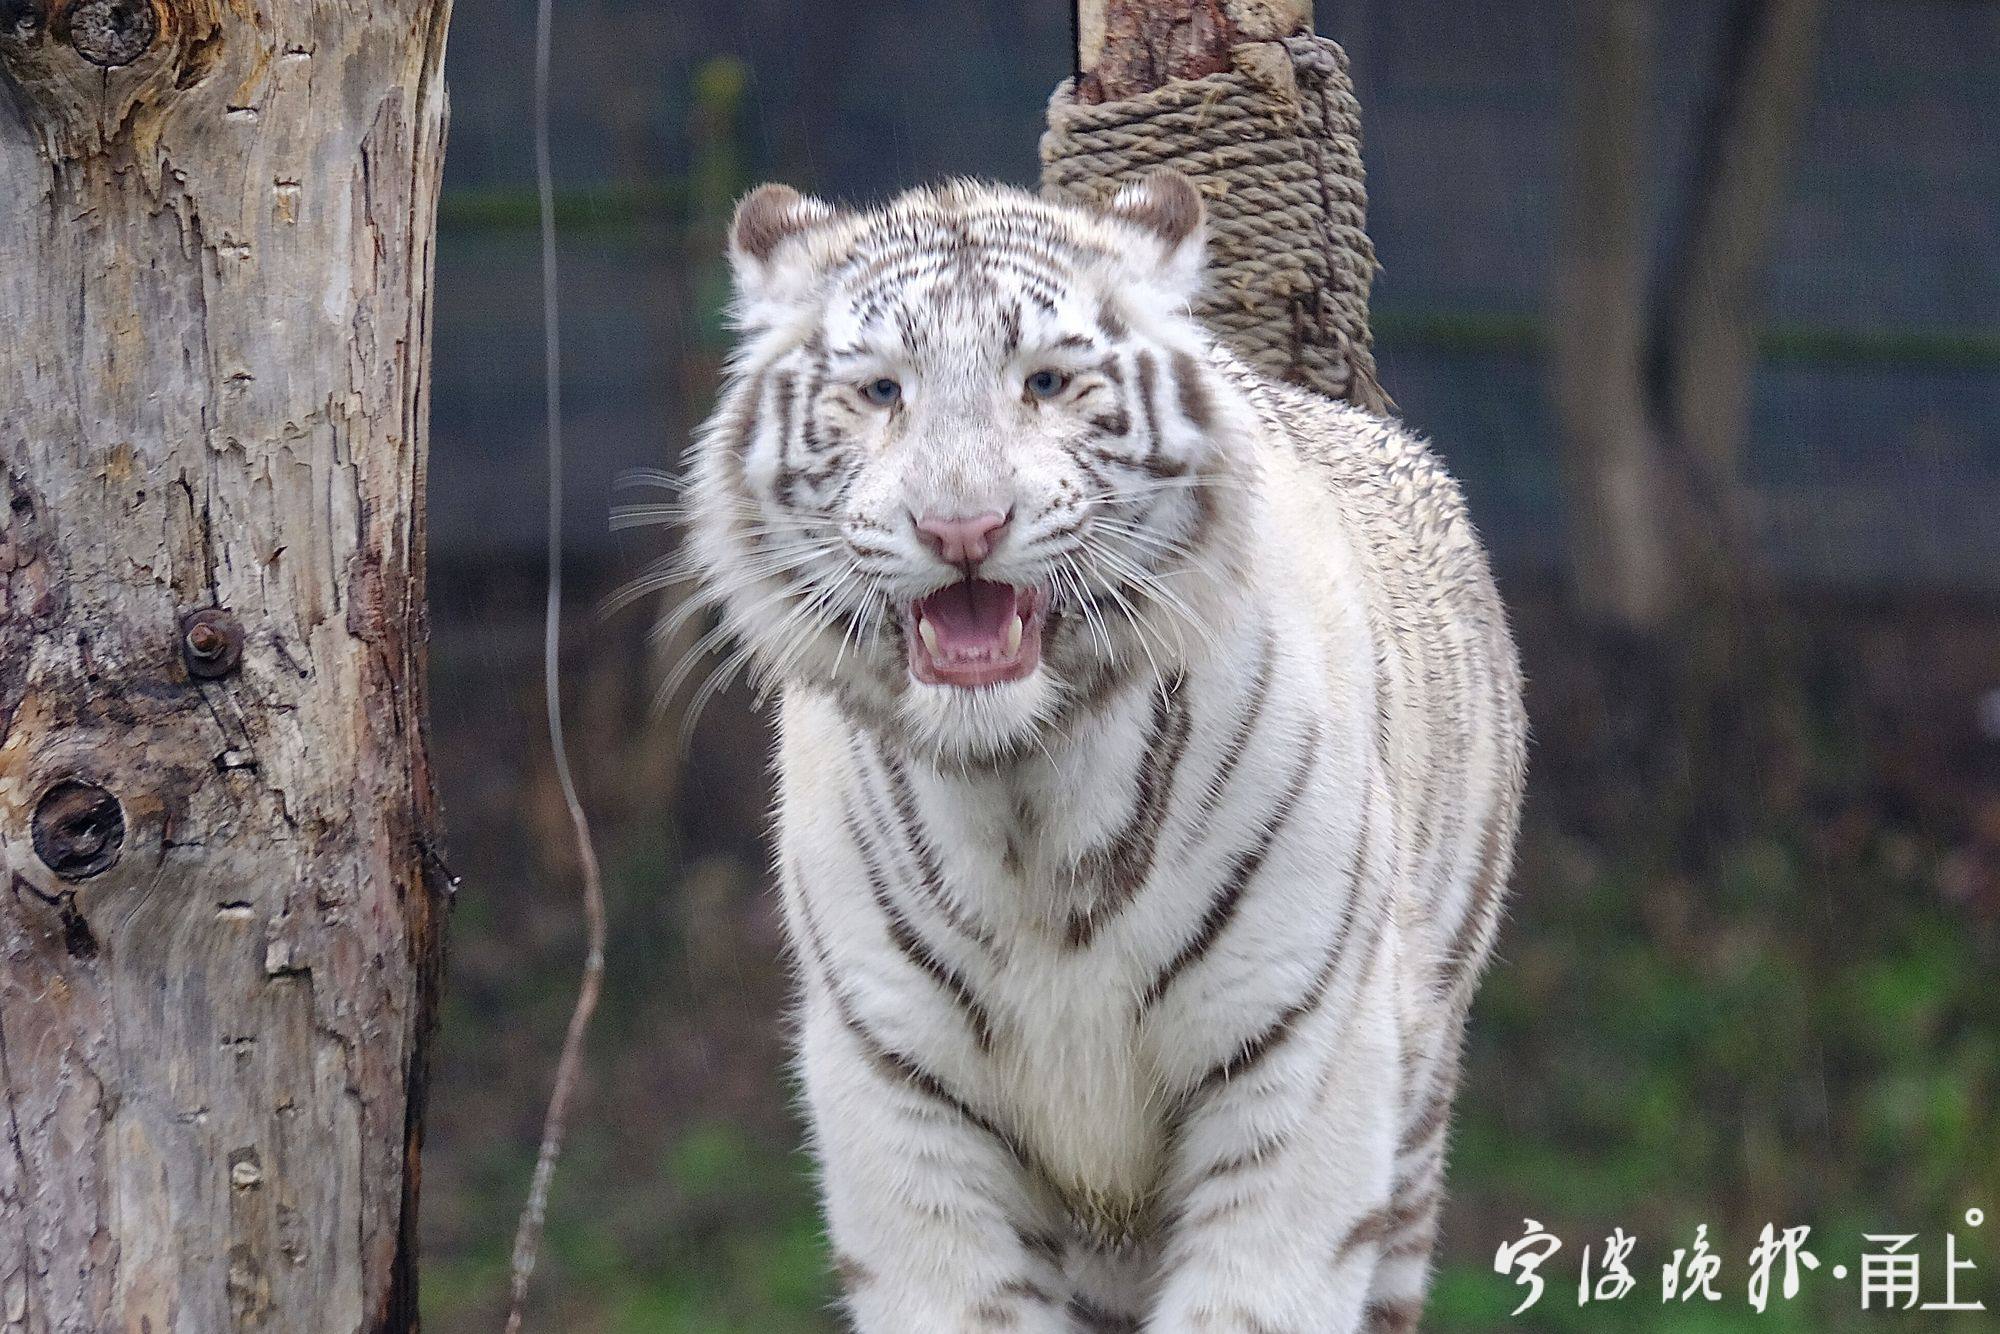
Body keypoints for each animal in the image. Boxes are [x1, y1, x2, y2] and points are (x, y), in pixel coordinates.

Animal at [674, 170, 1526, 1333]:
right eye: (882, 390)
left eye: (1044, 381)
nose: (961, 527)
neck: (1020, 796)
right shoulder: (898, 1091)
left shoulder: (1300, 1056)